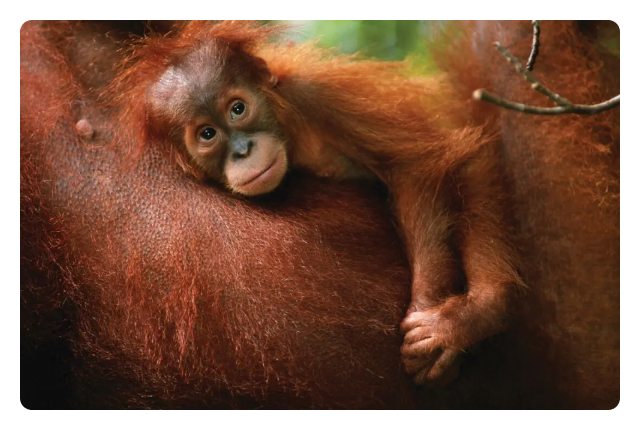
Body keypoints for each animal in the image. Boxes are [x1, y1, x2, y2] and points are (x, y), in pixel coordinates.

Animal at [114, 20, 523, 384]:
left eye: (237, 109)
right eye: (207, 134)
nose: (243, 150)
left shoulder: (315, 96)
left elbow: (411, 165)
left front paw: (437, 325)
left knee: (469, 161)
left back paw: (481, 310)